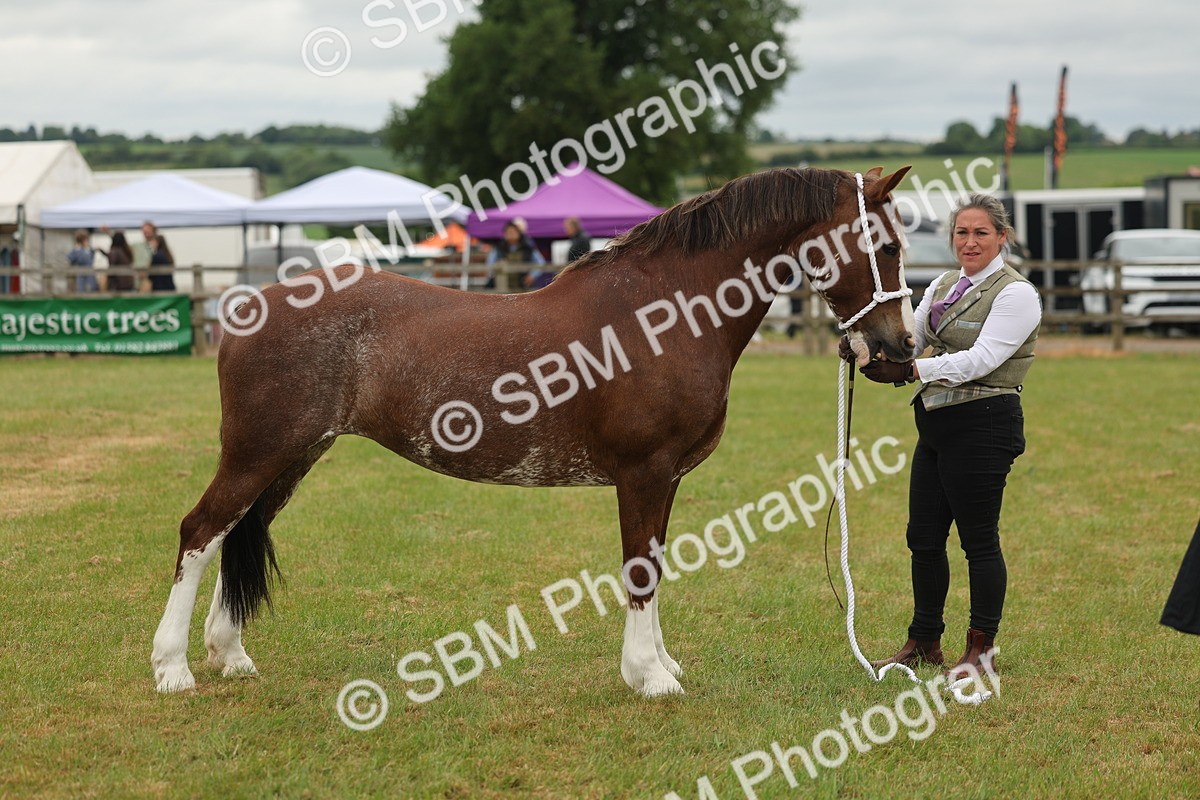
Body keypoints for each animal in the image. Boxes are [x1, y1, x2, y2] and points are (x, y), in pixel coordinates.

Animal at [152, 166, 915, 697]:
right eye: (882, 244)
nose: (899, 349)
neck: (663, 312)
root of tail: (246, 307)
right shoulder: (643, 472)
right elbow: (640, 569)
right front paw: (649, 677)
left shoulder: (665, 479)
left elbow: (656, 563)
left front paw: (661, 664)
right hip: (258, 453)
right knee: (201, 532)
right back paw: (172, 668)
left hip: (293, 457)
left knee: (234, 532)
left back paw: (231, 655)